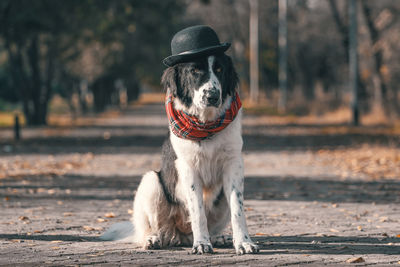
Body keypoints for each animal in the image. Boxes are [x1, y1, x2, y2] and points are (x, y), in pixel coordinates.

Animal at [98, 25, 258, 258]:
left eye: (220, 69)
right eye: (195, 71)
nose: (212, 96)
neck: (205, 125)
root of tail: (180, 236)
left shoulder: (234, 164)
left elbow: (238, 208)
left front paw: (244, 243)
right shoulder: (188, 168)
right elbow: (198, 211)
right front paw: (202, 244)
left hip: (220, 200)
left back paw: (219, 238)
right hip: (151, 181)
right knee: (151, 229)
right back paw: (154, 239)